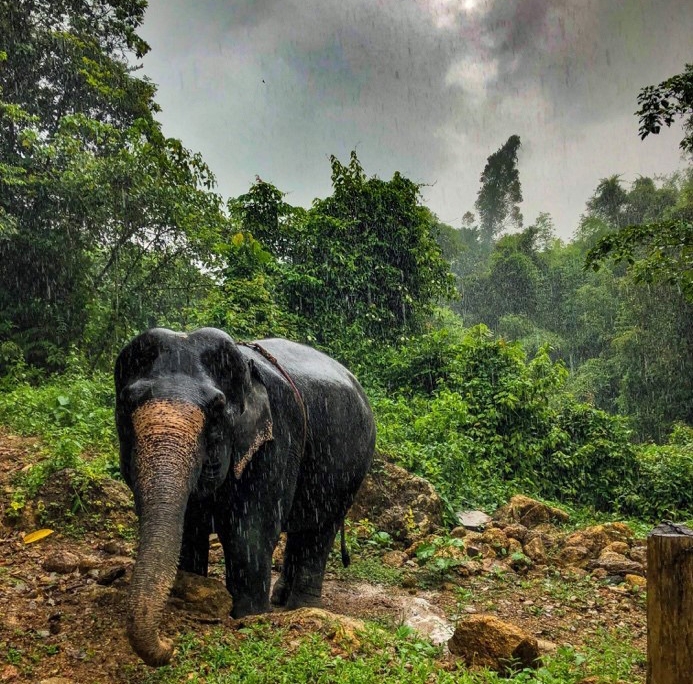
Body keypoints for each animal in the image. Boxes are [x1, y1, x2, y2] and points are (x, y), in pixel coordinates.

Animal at [114, 327, 375, 667]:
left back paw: (301, 607)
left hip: (349, 470)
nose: (169, 645)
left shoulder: (276, 438)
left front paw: (250, 616)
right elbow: (189, 531)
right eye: (127, 401)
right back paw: (281, 597)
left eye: (216, 409)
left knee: (319, 530)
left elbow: (249, 532)